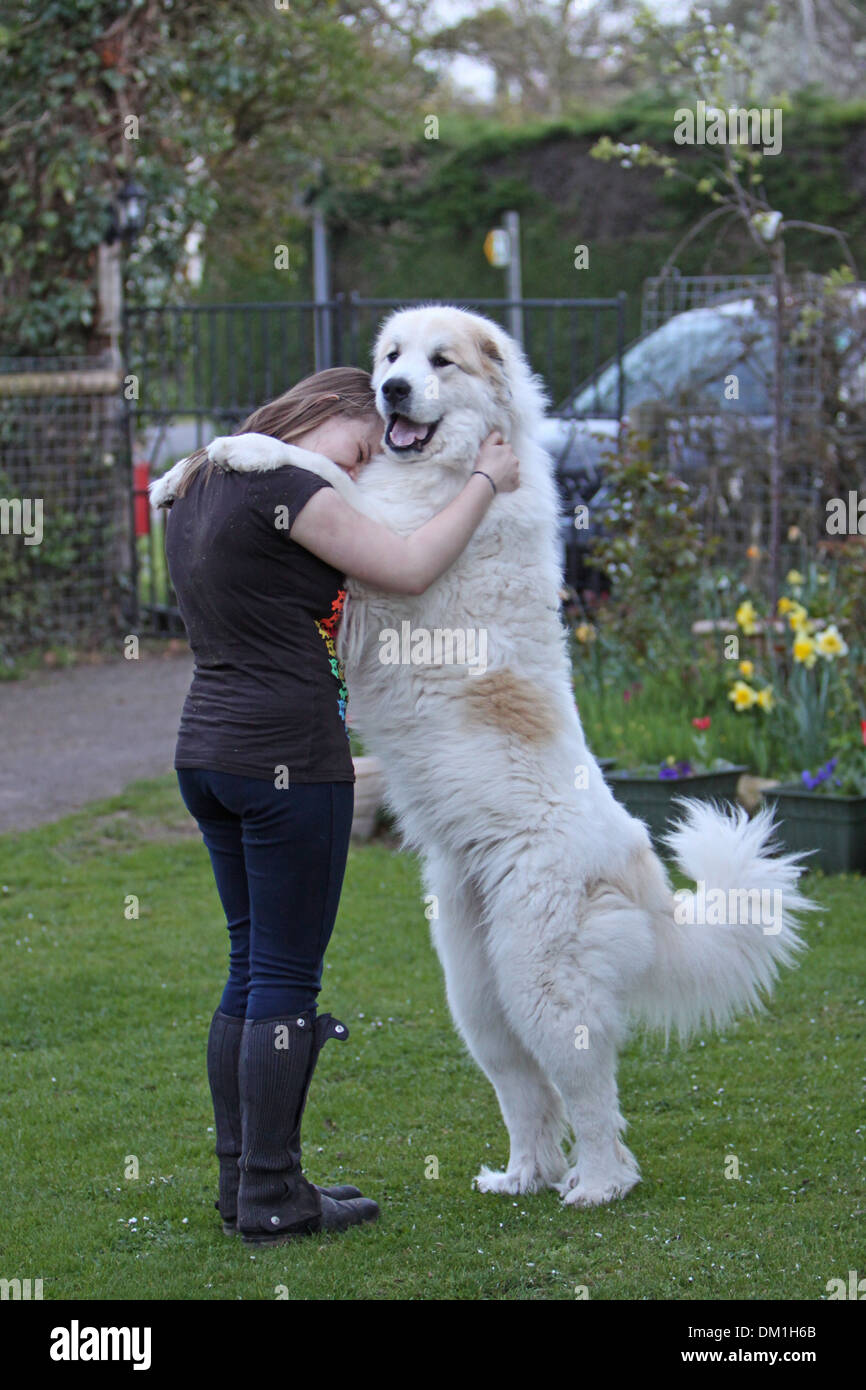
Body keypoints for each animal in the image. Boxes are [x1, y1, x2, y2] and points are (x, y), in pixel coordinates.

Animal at [150, 304, 811, 1206]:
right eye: (392, 357)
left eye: (440, 362)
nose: (393, 389)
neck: (453, 465)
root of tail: (642, 872)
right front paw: (177, 474)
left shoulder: (382, 547)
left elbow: (321, 469)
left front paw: (244, 449)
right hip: (477, 994)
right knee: (529, 1096)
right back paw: (523, 1176)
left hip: (541, 985)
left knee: (591, 1100)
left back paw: (597, 1186)